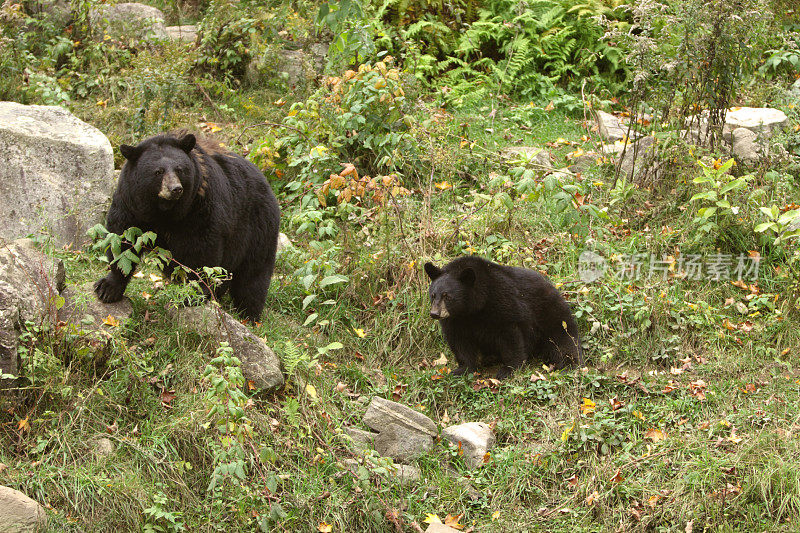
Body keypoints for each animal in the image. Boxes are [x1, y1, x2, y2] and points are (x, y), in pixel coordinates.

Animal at [95, 131, 282, 320]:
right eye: (158, 171)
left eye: (179, 169)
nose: (175, 188)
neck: (163, 210)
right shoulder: (130, 203)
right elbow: (121, 239)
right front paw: (108, 288)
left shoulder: (200, 205)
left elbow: (201, 250)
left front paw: (192, 294)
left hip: (258, 227)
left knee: (253, 275)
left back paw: (248, 314)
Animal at [424, 255, 580, 376]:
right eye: (433, 295)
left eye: (447, 296)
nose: (434, 314)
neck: (472, 309)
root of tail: (553, 286)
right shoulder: (455, 320)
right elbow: (460, 342)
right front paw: (462, 369)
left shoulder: (502, 302)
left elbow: (510, 337)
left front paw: (508, 370)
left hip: (550, 312)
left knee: (563, 339)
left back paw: (569, 364)